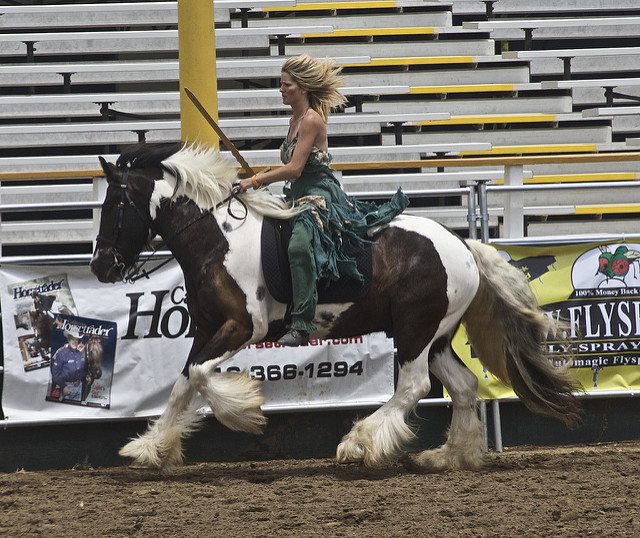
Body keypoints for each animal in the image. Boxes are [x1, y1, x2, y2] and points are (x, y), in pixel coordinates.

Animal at [91, 143, 580, 468]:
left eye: (114, 205)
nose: (100, 266)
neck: (218, 240)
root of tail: (463, 245)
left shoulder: (242, 327)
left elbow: (197, 376)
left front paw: (244, 412)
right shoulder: (209, 329)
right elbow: (182, 384)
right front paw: (150, 447)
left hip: (415, 330)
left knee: (414, 386)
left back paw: (360, 443)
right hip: (437, 336)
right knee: (462, 386)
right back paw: (448, 456)